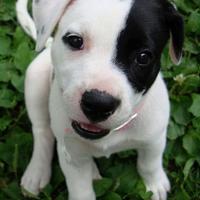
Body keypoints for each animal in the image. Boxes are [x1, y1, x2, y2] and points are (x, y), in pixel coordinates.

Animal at [16, 0, 183, 200]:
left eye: (143, 57)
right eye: (75, 40)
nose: (98, 104)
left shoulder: (154, 138)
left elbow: (149, 163)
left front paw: (154, 184)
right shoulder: (71, 156)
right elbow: (81, 190)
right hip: (35, 79)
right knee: (42, 131)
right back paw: (37, 171)